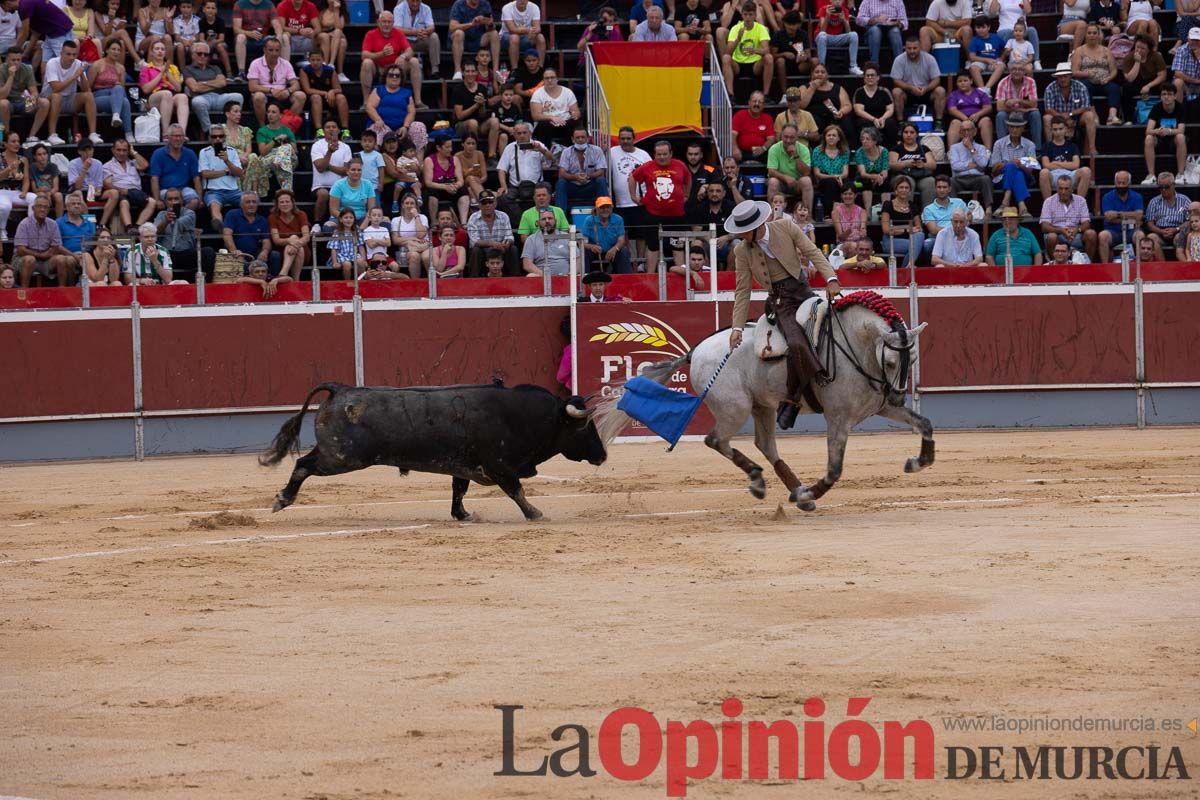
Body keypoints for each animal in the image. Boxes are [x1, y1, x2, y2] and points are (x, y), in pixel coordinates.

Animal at [256, 383, 604, 522]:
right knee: (303, 464)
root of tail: (341, 389)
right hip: (342, 457)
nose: (602, 456)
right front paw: (535, 514)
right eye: (583, 427)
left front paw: (462, 515)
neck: (521, 416)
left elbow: (459, 490)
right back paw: (282, 499)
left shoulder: (464, 466)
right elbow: (516, 491)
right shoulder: (500, 466)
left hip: (338, 454)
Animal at [595, 299, 931, 513]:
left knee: (765, 445)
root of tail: (697, 350)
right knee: (716, 439)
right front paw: (813, 490)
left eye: (914, 358)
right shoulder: (838, 417)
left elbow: (924, 423)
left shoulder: (879, 407)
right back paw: (766, 483)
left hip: (763, 406)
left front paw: (917, 462)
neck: (852, 347)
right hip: (735, 408)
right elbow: (835, 468)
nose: (898, 395)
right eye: (891, 361)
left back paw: (793, 491)